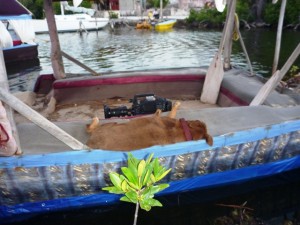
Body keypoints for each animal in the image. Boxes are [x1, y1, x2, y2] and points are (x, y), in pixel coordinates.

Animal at [85, 102, 213, 151]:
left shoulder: (160, 117)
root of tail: (90, 142)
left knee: (89, 128)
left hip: (110, 124)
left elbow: (168, 112)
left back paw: (95, 120)